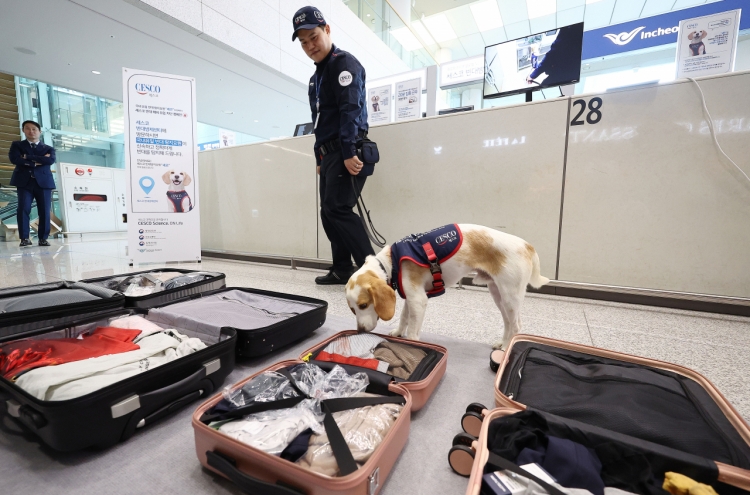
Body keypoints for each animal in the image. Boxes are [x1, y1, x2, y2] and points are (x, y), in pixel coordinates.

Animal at [348, 225, 552, 348]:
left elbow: (412, 330)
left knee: (516, 326)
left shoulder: (418, 300)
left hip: (510, 297)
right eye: (352, 310)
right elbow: (404, 318)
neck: (391, 261)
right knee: (509, 324)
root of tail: (527, 245)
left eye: (363, 305)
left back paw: (505, 350)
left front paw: (413, 343)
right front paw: (398, 332)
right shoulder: (410, 298)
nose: (360, 331)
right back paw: (502, 344)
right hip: (499, 296)